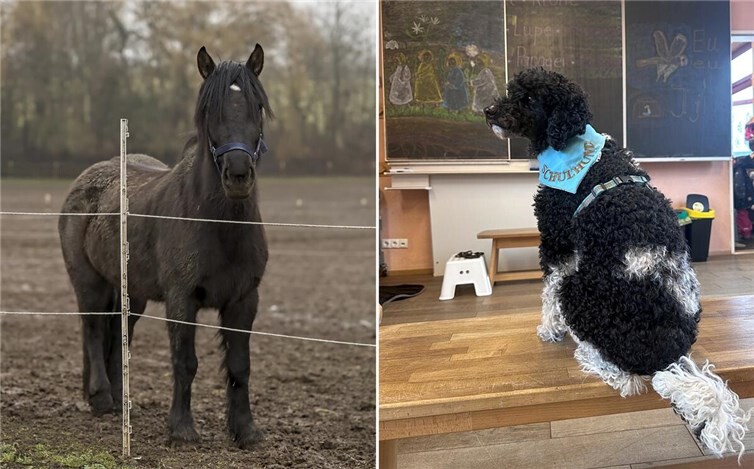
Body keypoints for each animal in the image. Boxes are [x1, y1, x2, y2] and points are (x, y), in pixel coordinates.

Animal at [58, 45, 272, 448]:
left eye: (257, 107)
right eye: (211, 112)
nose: (238, 174)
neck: (218, 224)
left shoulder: (243, 300)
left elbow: (241, 366)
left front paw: (246, 431)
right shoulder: (181, 299)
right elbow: (185, 362)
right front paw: (182, 429)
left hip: (133, 293)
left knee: (119, 335)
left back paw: (120, 400)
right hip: (89, 282)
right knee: (92, 329)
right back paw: (101, 398)